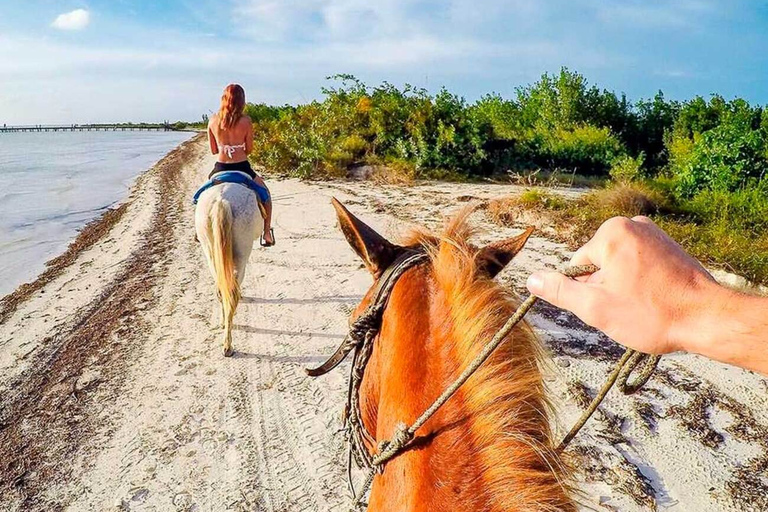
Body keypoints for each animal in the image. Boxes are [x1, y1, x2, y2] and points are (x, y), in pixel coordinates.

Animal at [195, 180, 264, 356]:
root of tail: (222, 199)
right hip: (243, 252)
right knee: (232, 291)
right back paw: (228, 345)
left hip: (210, 251)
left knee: (222, 289)